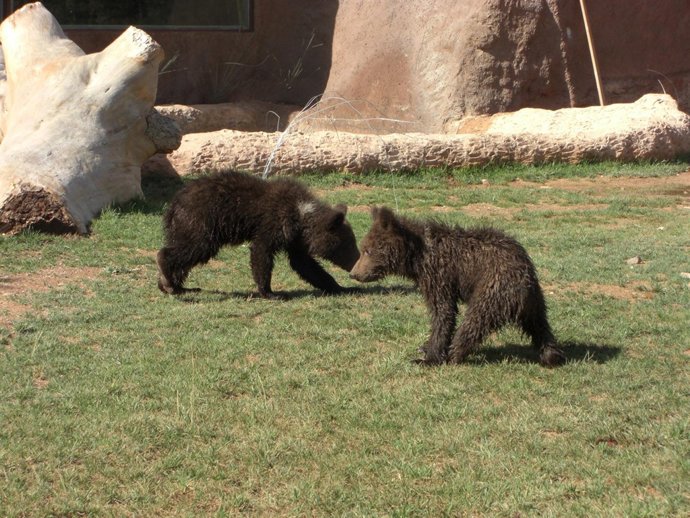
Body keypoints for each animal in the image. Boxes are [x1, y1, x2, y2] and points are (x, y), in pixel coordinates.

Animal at [157, 170, 360, 299]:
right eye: (348, 245)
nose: (356, 263)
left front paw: (339, 287)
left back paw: (174, 285)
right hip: (202, 223)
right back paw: (167, 274)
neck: (301, 215)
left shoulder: (295, 239)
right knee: (193, 249)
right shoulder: (274, 224)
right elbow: (261, 254)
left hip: (184, 227)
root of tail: (173, 203)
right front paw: (270, 292)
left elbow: (305, 265)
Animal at [349, 206, 566, 367]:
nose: (354, 273)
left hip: (492, 289)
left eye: (367, 250)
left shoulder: (440, 276)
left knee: (473, 322)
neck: (416, 259)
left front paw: (428, 356)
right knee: (540, 326)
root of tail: (524, 280)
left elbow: (443, 312)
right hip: (535, 301)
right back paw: (551, 355)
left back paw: (454, 354)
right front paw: (425, 347)